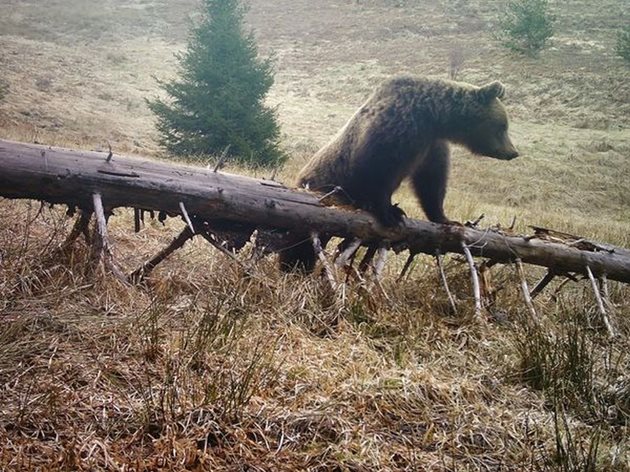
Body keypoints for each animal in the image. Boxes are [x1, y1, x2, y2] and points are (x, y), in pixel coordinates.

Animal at [280, 75, 520, 272]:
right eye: (503, 125)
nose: (513, 152)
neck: (432, 118)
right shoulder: (395, 131)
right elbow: (378, 173)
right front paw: (390, 213)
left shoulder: (430, 146)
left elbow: (431, 183)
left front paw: (447, 219)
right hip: (321, 192)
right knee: (300, 243)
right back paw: (293, 265)